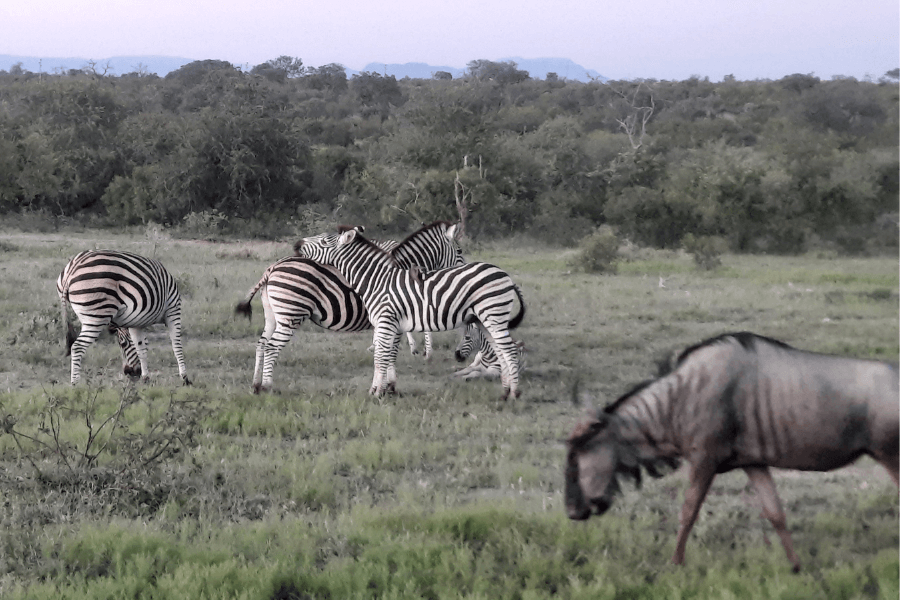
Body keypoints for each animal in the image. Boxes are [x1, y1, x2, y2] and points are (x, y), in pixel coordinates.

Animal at [57, 250, 191, 385]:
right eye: (122, 344)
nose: (128, 372)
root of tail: (73, 267)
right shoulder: (173, 310)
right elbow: (176, 345)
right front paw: (185, 378)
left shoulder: (136, 322)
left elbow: (141, 348)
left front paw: (146, 377)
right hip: (97, 315)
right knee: (77, 347)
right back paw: (75, 384)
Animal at [237, 221, 466, 393]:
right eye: (460, 251)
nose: (463, 267)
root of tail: (273, 267)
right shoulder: (395, 318)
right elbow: (391, 351)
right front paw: (390, 385)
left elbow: (386, 350)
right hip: (291, 315)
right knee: (271, 346)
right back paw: (267, 386)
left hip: (273, 316)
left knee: (261, 344)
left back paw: (256, 385)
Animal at [295, 227, 526, 399]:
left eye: (324, 241)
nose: (296, 244)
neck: (377, 281)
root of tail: (504, 274)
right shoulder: (391, 323)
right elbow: (385, 355)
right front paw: (383, 389)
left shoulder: (386, 322)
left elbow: (381, 357)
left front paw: (377, 392)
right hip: (485, 321)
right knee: (501, 351)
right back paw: (505, 392)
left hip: (493, 316)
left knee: (508, 351)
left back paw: (514, 393)